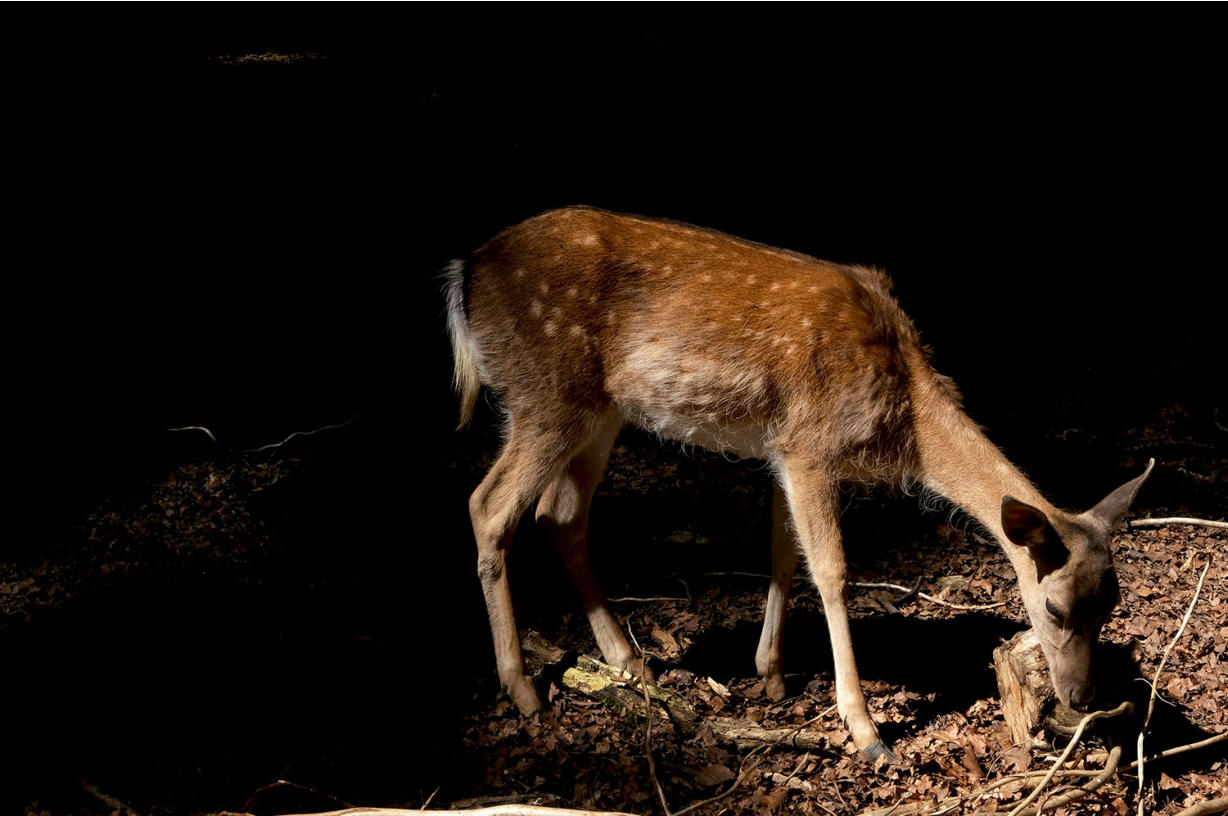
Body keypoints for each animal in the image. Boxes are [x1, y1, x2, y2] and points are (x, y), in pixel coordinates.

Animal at [445, 206, 1152, 761]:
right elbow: (833, 571)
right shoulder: (810, 444)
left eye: (1113, 604)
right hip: (545, 394)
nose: (1083, 695)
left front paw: (772, 674)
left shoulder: (783, 450)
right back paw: (524, 688)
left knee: (559, 515)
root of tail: (466, 272)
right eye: (1054, 609)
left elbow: (784, 553)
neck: (904, 416)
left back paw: (629, 661)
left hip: (600, 412)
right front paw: (865, 730)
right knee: (489, 505)